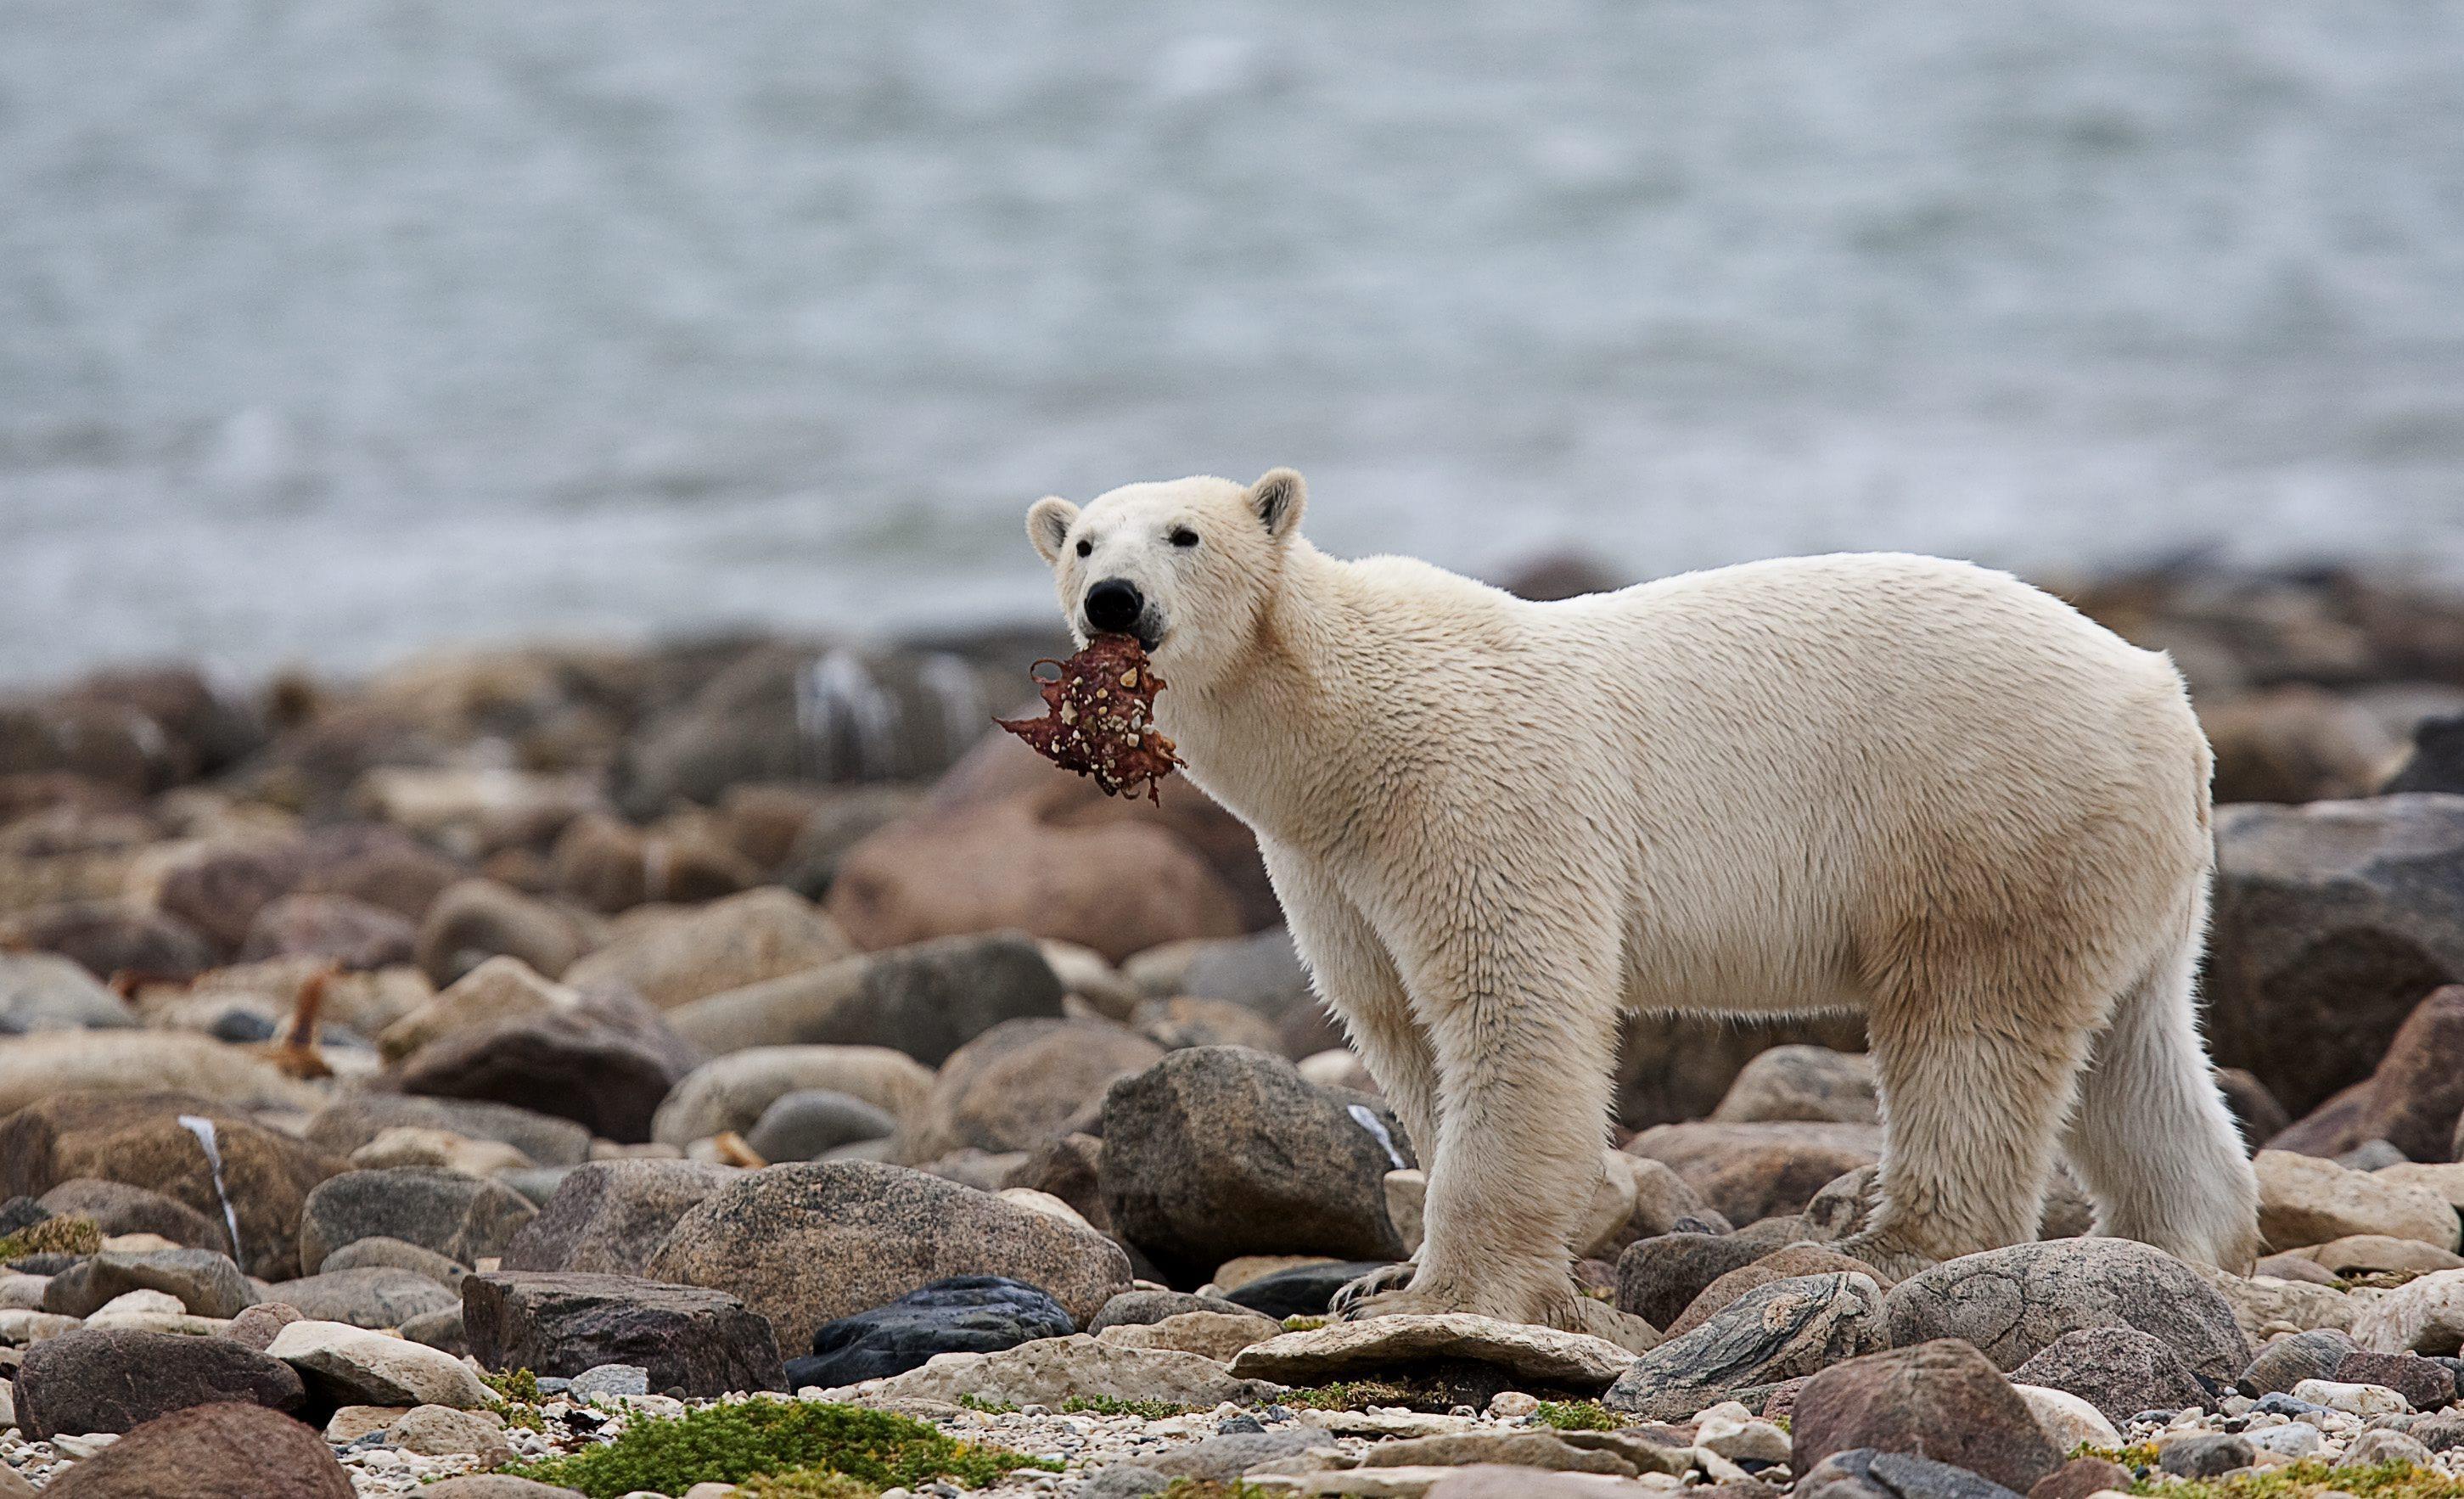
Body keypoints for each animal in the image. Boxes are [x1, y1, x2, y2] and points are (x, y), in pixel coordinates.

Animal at [1030, 465, 2257, 1331]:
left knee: (1968, 1028)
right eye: (1083, 541)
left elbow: (1511, 1002)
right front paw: (1378, 1281)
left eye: (1183, 534)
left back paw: (1890, 1244)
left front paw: (1447, 1289)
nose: (1112, 600)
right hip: (2115, 859)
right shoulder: (1327, 863)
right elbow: (1398, 1023)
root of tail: (2164, 698)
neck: (1342, 728)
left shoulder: (1474, 794)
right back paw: (2176, 1240)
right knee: (2135, 1047)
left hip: (1985, 813)